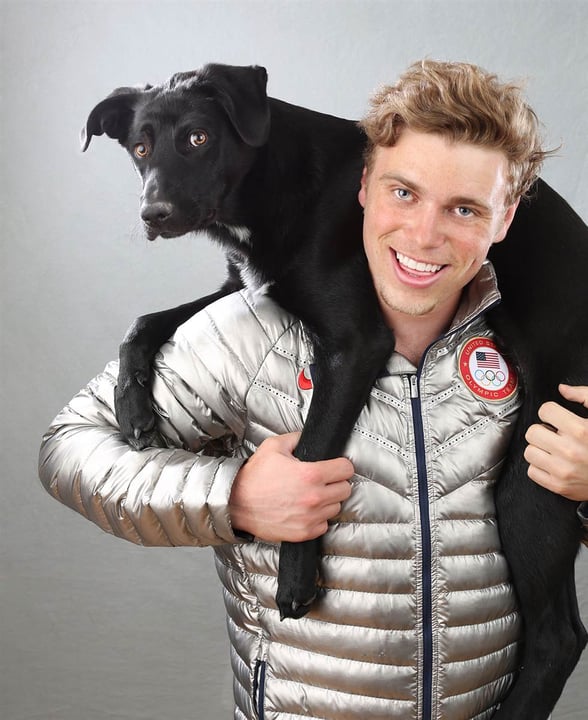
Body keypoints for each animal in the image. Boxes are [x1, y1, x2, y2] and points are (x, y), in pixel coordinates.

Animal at [82, 64, 588, 716]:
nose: (155, 213)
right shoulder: (241, 287)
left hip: (536, 466)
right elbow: (145, 320)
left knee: (558, 634)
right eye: (141, 148)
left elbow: (310, 449)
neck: (275, 184)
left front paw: (297, 575)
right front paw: (132, 401)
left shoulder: (356, 343)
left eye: (198, 137)